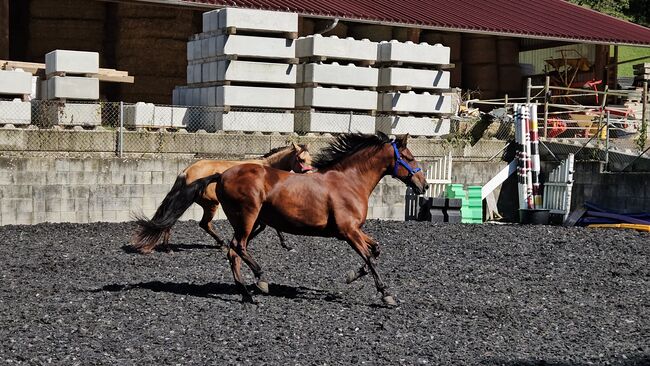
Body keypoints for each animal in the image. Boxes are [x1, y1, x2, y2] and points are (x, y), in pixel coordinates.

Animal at [130, 143, 312, 254]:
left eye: (310, 159)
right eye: (301, 159)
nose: (310, 175)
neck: (267, 169)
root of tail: (186, 172)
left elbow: (271, 227)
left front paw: (286, 245)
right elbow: (264, 226)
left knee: (172, 219)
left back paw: (169, 247)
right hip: (211, 203)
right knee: (203, 223)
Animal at [205, 132, 426, 306]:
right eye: (408, 157)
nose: (423, 185)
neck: (350, 181)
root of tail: (222, 175)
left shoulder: (353, 230)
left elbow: (375, 249)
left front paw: (352, 276)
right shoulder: (348, 231)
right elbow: (369, 257)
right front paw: (386, 294)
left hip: (252, 223)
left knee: (233, 252)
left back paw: (246, 294)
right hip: (248, 218)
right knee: (238, 246)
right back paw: (261, 279)